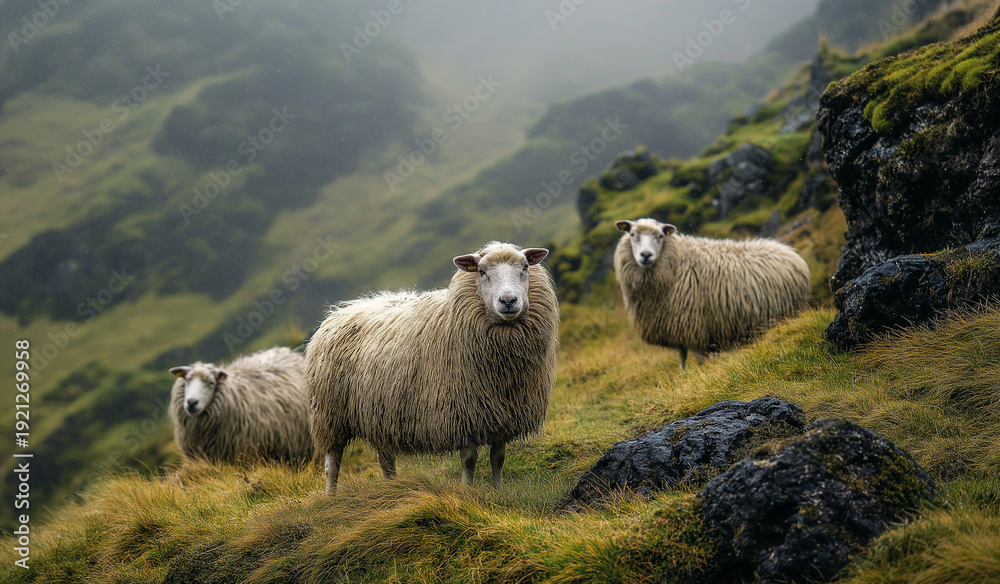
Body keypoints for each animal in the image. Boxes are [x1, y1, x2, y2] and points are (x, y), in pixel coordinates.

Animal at [305, 241, 559, 493]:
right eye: (481, 271)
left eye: (525, 267)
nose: (508, 301)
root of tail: (341, 311)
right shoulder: (462, 414)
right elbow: (469, 460)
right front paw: (466, 492)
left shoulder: (505, 415)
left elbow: (498, 458)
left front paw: (499, 492)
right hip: (330, 414)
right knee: (332, 463)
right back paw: (331, 496)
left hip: (378, 413)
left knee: (385, 459)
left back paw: (391, 487)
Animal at [614, 218, 810, 370]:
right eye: (632, 235)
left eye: (660, 236)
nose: (646, 255)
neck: (675, 265)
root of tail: (791, 252)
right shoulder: (678, 327)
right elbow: (682, 358)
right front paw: (683, 376)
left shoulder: (696, 326)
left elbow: (700, 359)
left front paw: (700, 375)